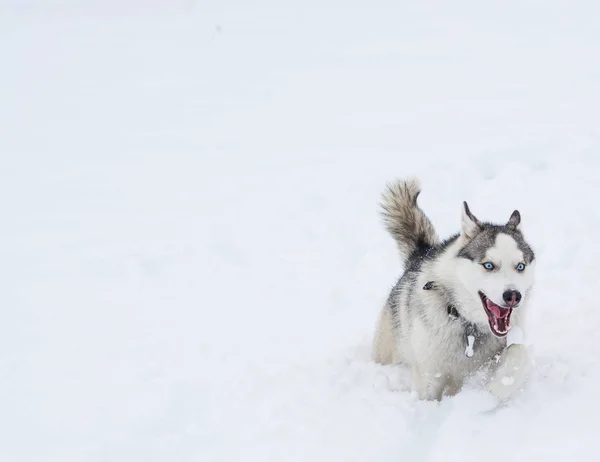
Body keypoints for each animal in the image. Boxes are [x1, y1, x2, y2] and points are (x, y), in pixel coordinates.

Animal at [372, 178, 536, 400]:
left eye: (520, 266)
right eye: (488, 265)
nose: (513, 296)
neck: (469, 326)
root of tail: (420, 254)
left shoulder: (509, 338)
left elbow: (518, 352)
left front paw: (500, 385)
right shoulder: (429, 373)